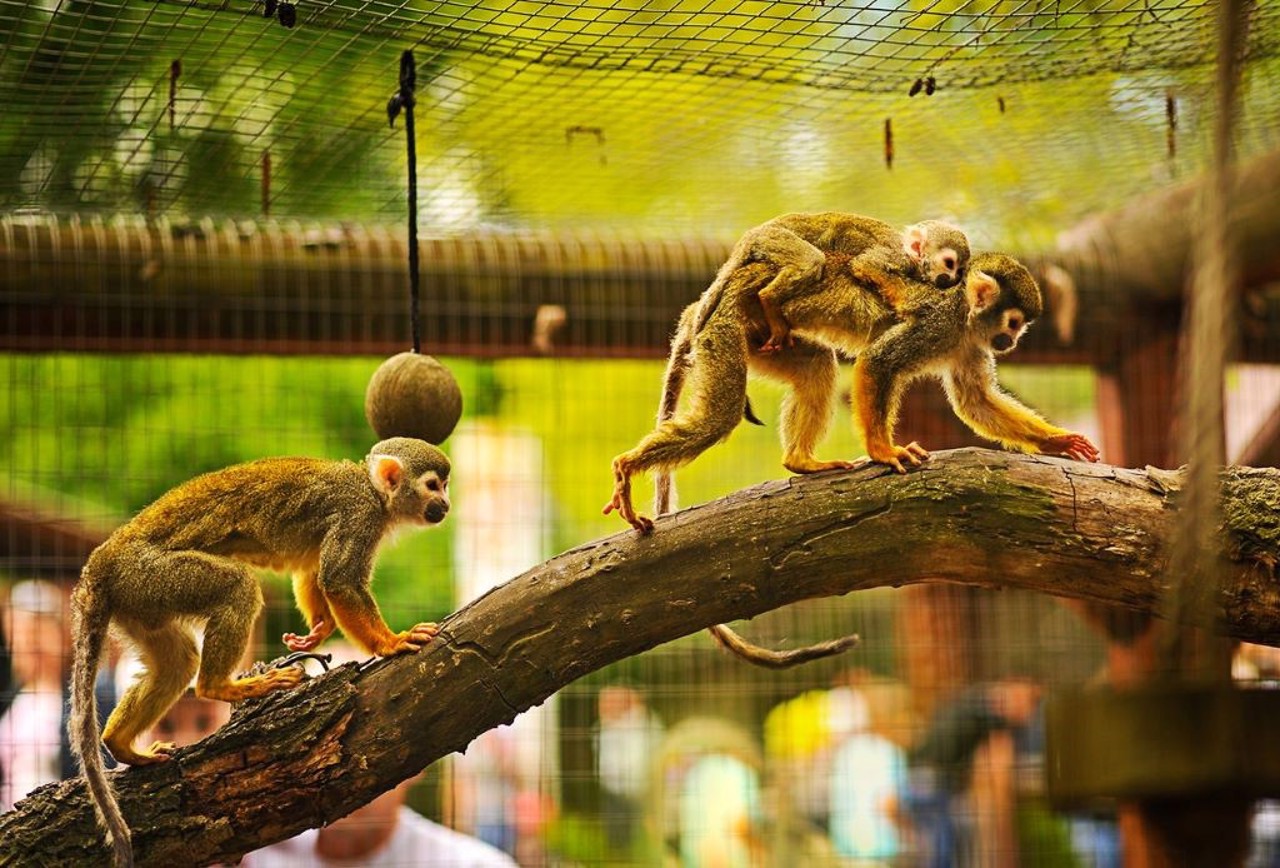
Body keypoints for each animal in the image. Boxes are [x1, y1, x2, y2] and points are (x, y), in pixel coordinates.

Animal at [71, 437, 455, 865]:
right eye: (433, 485)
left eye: (444, 486)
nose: (446, 503)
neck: (372, 490)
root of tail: (100, 565)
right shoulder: (358, 516)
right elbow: (339, 581)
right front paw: (390, 643)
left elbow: (313, 568)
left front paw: (317, 631)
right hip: (152, 575)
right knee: (236, 587)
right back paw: (220, 686)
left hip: (138, 601)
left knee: (177, 663)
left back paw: (120, 743)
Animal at [701, 212, 967, 350]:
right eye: (949, 264)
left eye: (959, 271)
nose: (951, 279)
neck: (911, 257)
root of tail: (754, 232)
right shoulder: (894, 255)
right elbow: (866, 265)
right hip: (775, 239)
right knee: (811, 260)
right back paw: (769, 300)